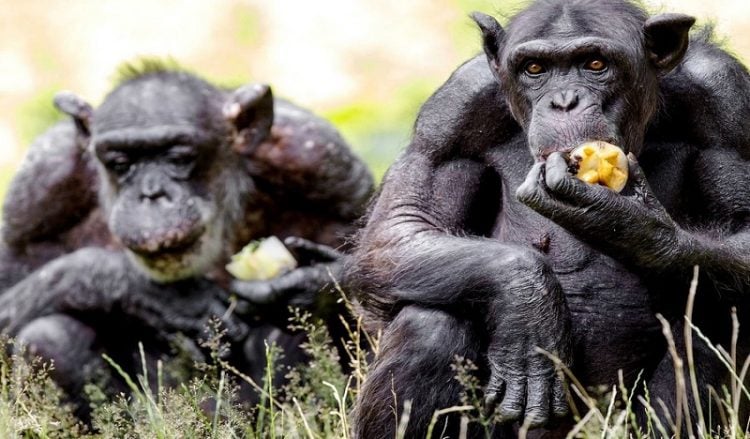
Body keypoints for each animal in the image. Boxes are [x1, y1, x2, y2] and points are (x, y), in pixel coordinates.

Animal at [0, 62, 374, 406]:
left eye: (179, 158)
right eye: (121, 164)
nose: (151, 193)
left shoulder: (323, 160)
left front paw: (311, 284)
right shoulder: (37, 185)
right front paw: (159, 296)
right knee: (49, 337)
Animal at [350, 0, 750, 436]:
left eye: (595, 64)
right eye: (535, 69)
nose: (564, 101)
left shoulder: (726, 100)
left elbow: (743, 233)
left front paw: (625, 222)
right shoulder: (452, 112)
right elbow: (401, 227)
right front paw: (529, 305)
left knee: (715, 314)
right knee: (431, 321)